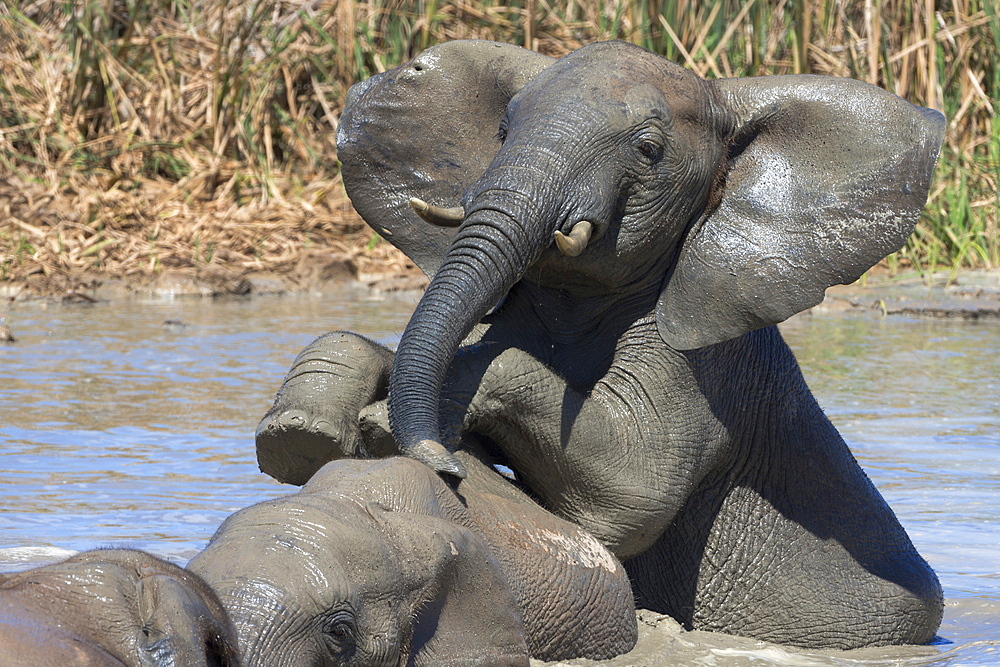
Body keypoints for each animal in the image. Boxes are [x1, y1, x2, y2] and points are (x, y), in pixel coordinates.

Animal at [258, 39, 944, 648]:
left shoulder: (709, 368)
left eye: (649, 150)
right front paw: (303, 431)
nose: (442, 465)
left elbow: (633, 489)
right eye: (502, 131)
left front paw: (388, 421)